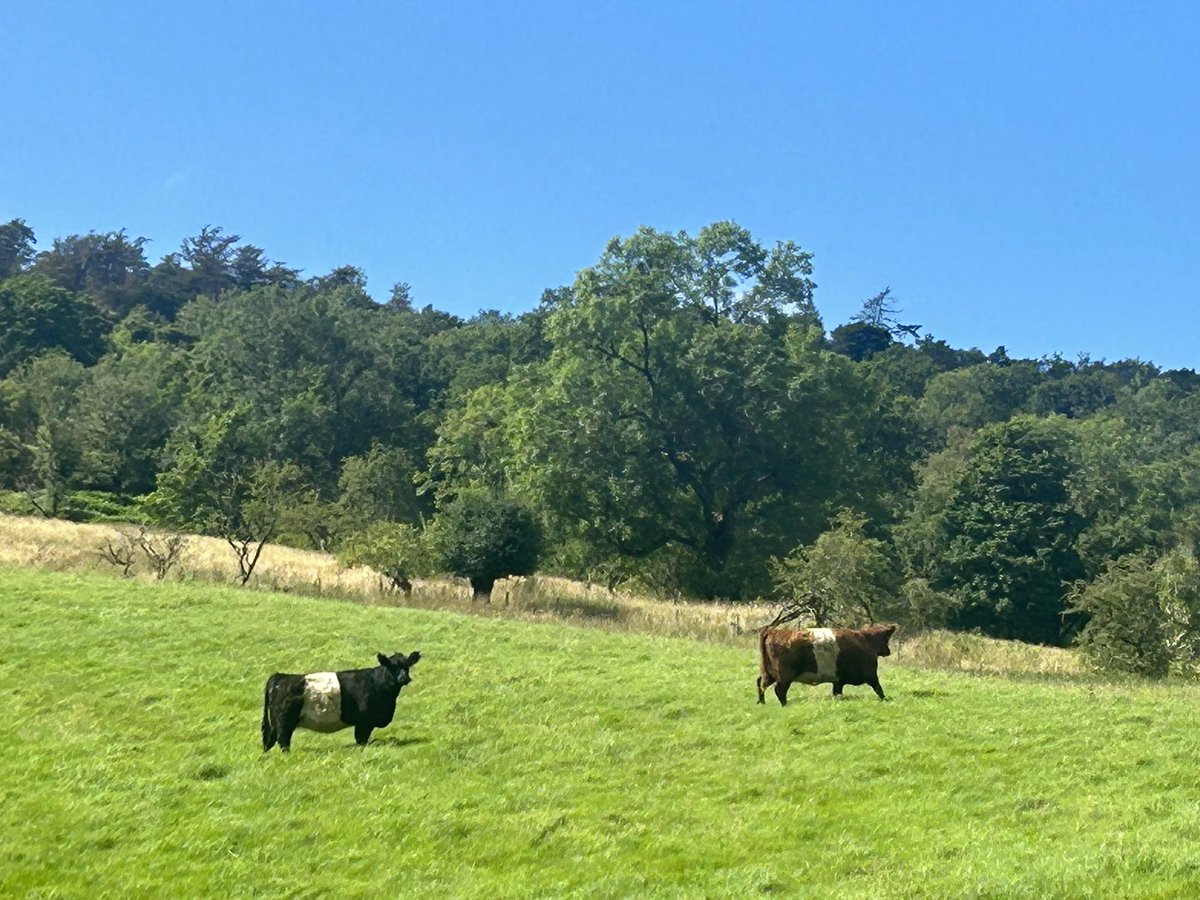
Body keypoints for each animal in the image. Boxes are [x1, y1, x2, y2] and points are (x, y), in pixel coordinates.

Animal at [261, 650, 421, 752]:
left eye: (407, 666)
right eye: (392, 666)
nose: (404, 678)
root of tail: (280, 676)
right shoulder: (364, 721)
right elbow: (361, 739)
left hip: (276, 722)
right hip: (284, 721)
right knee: (283, 740)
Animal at [757, 625, 897, 705]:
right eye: (885, 639)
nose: (888, 651)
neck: (866, 641)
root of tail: (772, 631)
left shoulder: (838, 681)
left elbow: (837, 693)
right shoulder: (871, 674)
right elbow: (878, 688)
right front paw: (886, 700)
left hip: (768, 673)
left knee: (760, 683)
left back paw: (761, 702)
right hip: (784, 675)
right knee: (779, 690)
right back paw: (785, 705)